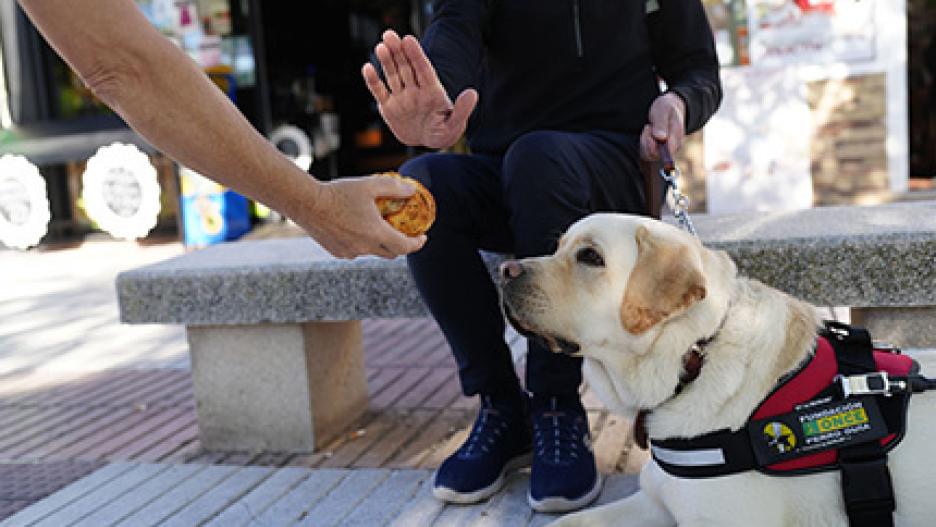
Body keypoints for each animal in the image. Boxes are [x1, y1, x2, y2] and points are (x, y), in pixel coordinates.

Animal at [504, 213, 936, 527]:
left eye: (590, 257)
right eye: (557, 247)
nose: (506, 270)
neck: (693, 359)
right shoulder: (657, 500)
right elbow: (567, 523)